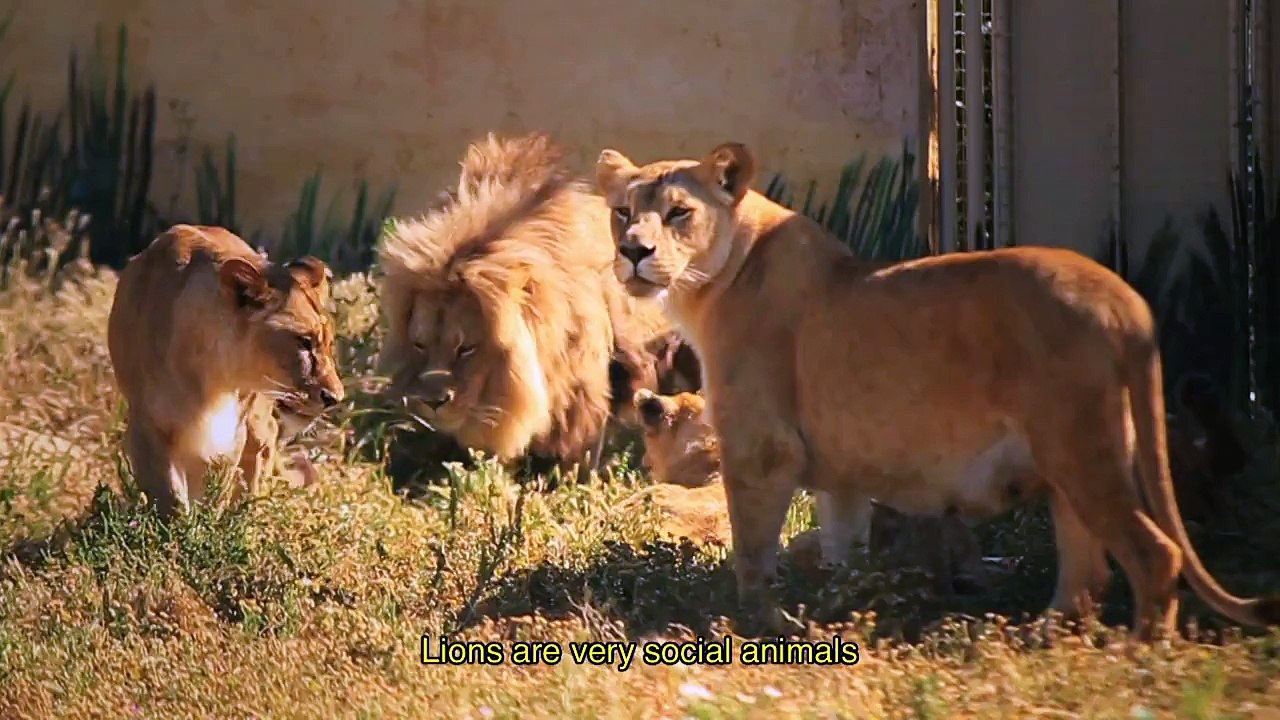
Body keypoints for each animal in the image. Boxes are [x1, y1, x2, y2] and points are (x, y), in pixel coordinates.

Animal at [107, 224, 345, 517]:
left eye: (329, 345)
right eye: (304, 342)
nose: (335, 398)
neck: (210, 380)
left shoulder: (227, 435)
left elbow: (214, 494)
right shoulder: (147, 428)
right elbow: (171, 499)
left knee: (265, 441)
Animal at [596, 141, 1280, 640]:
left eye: (679, 212)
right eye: (623, 212)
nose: (632, 251)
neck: (710, 285)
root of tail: (1126, 299)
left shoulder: (762, 450)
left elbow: (753, 552)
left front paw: (753, 624)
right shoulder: (840, 475)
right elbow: (842, 547)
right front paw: (834, 611)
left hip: (1084, 449)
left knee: (1154, 554)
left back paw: (1138, 654)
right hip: (1069, 468)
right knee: (1087, 574)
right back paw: (1042, 638)